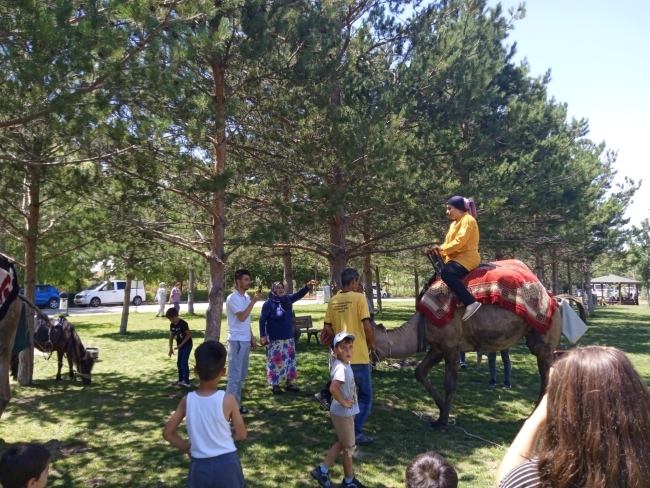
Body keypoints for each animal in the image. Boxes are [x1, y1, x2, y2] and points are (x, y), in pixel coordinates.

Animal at [372, 304, 560, 428]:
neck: (421, 325)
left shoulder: (451, 345)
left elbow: (449, 384)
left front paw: (442, 421)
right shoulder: (438, 346)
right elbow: (420, 372)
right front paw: (442, 410)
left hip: (544, 338)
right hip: (535, 339)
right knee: (544, 376)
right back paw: (528, 418)